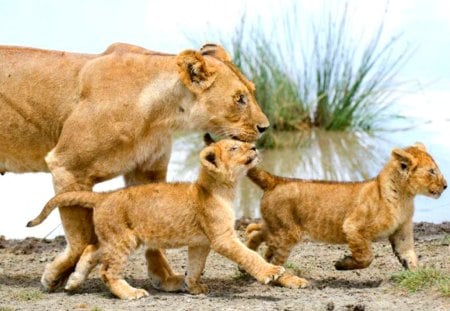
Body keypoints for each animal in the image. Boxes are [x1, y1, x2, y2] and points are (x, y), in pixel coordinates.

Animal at [0, 42, 268, 292]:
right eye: (240, 98)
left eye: (252, 91)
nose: (265, 127)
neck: (160, 114)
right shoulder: (68, 166)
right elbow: (81, 235)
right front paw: (57, 276)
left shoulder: (147, 170)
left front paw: (164, 278)